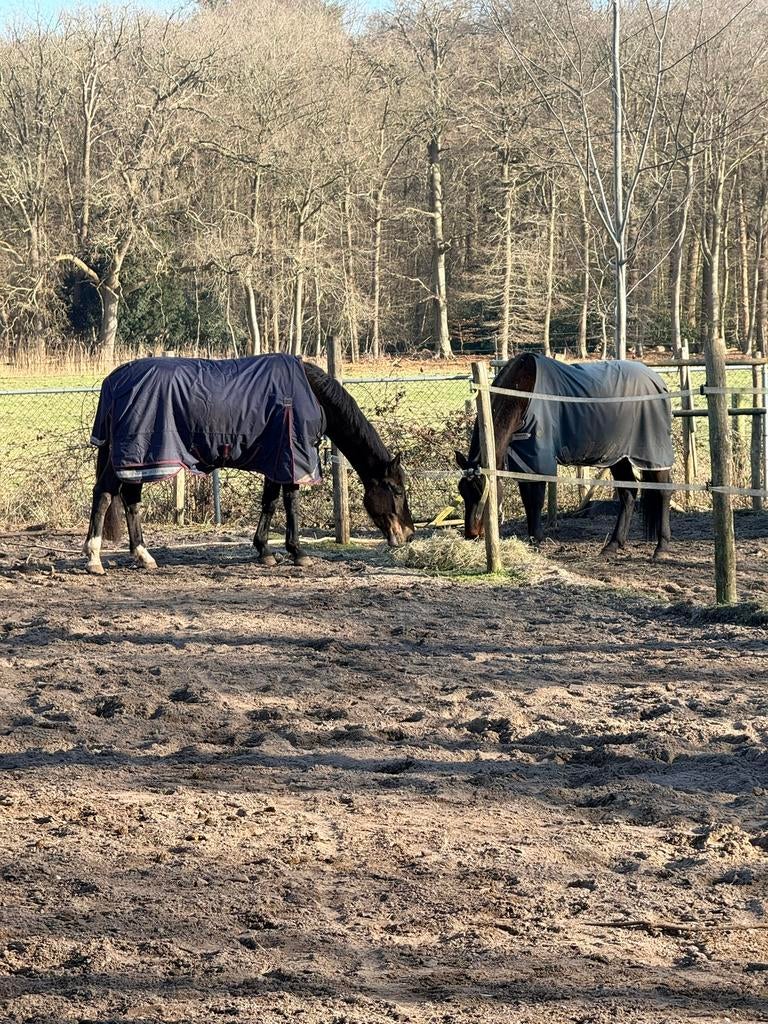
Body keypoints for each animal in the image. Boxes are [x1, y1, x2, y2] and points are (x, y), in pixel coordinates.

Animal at [84, 353, 415, 575]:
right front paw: (297, 551)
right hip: (133, 457)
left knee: (130, 500)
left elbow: (270, 503)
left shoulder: (275, 461)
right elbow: (291, 502)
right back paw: (94, 558)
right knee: (104, 495)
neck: (308, 394)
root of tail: (114, 381)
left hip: (137, 461)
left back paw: (144, 556)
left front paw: (265, 550)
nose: (409, 534)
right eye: (397, 491)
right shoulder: (291, 458)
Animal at [455, 353, 674, 559]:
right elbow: (528, 500)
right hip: (618, 456)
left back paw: (661, 548)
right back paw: (612, 546)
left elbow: (535, 501)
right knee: (628, 494)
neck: (523, 394)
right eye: (463, 492)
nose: (472, 534)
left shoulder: (537, 459)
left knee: (663, 491)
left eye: (480, 490)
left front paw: (536, 541)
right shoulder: (524, 460)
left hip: (653, 455)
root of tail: (657, 381)